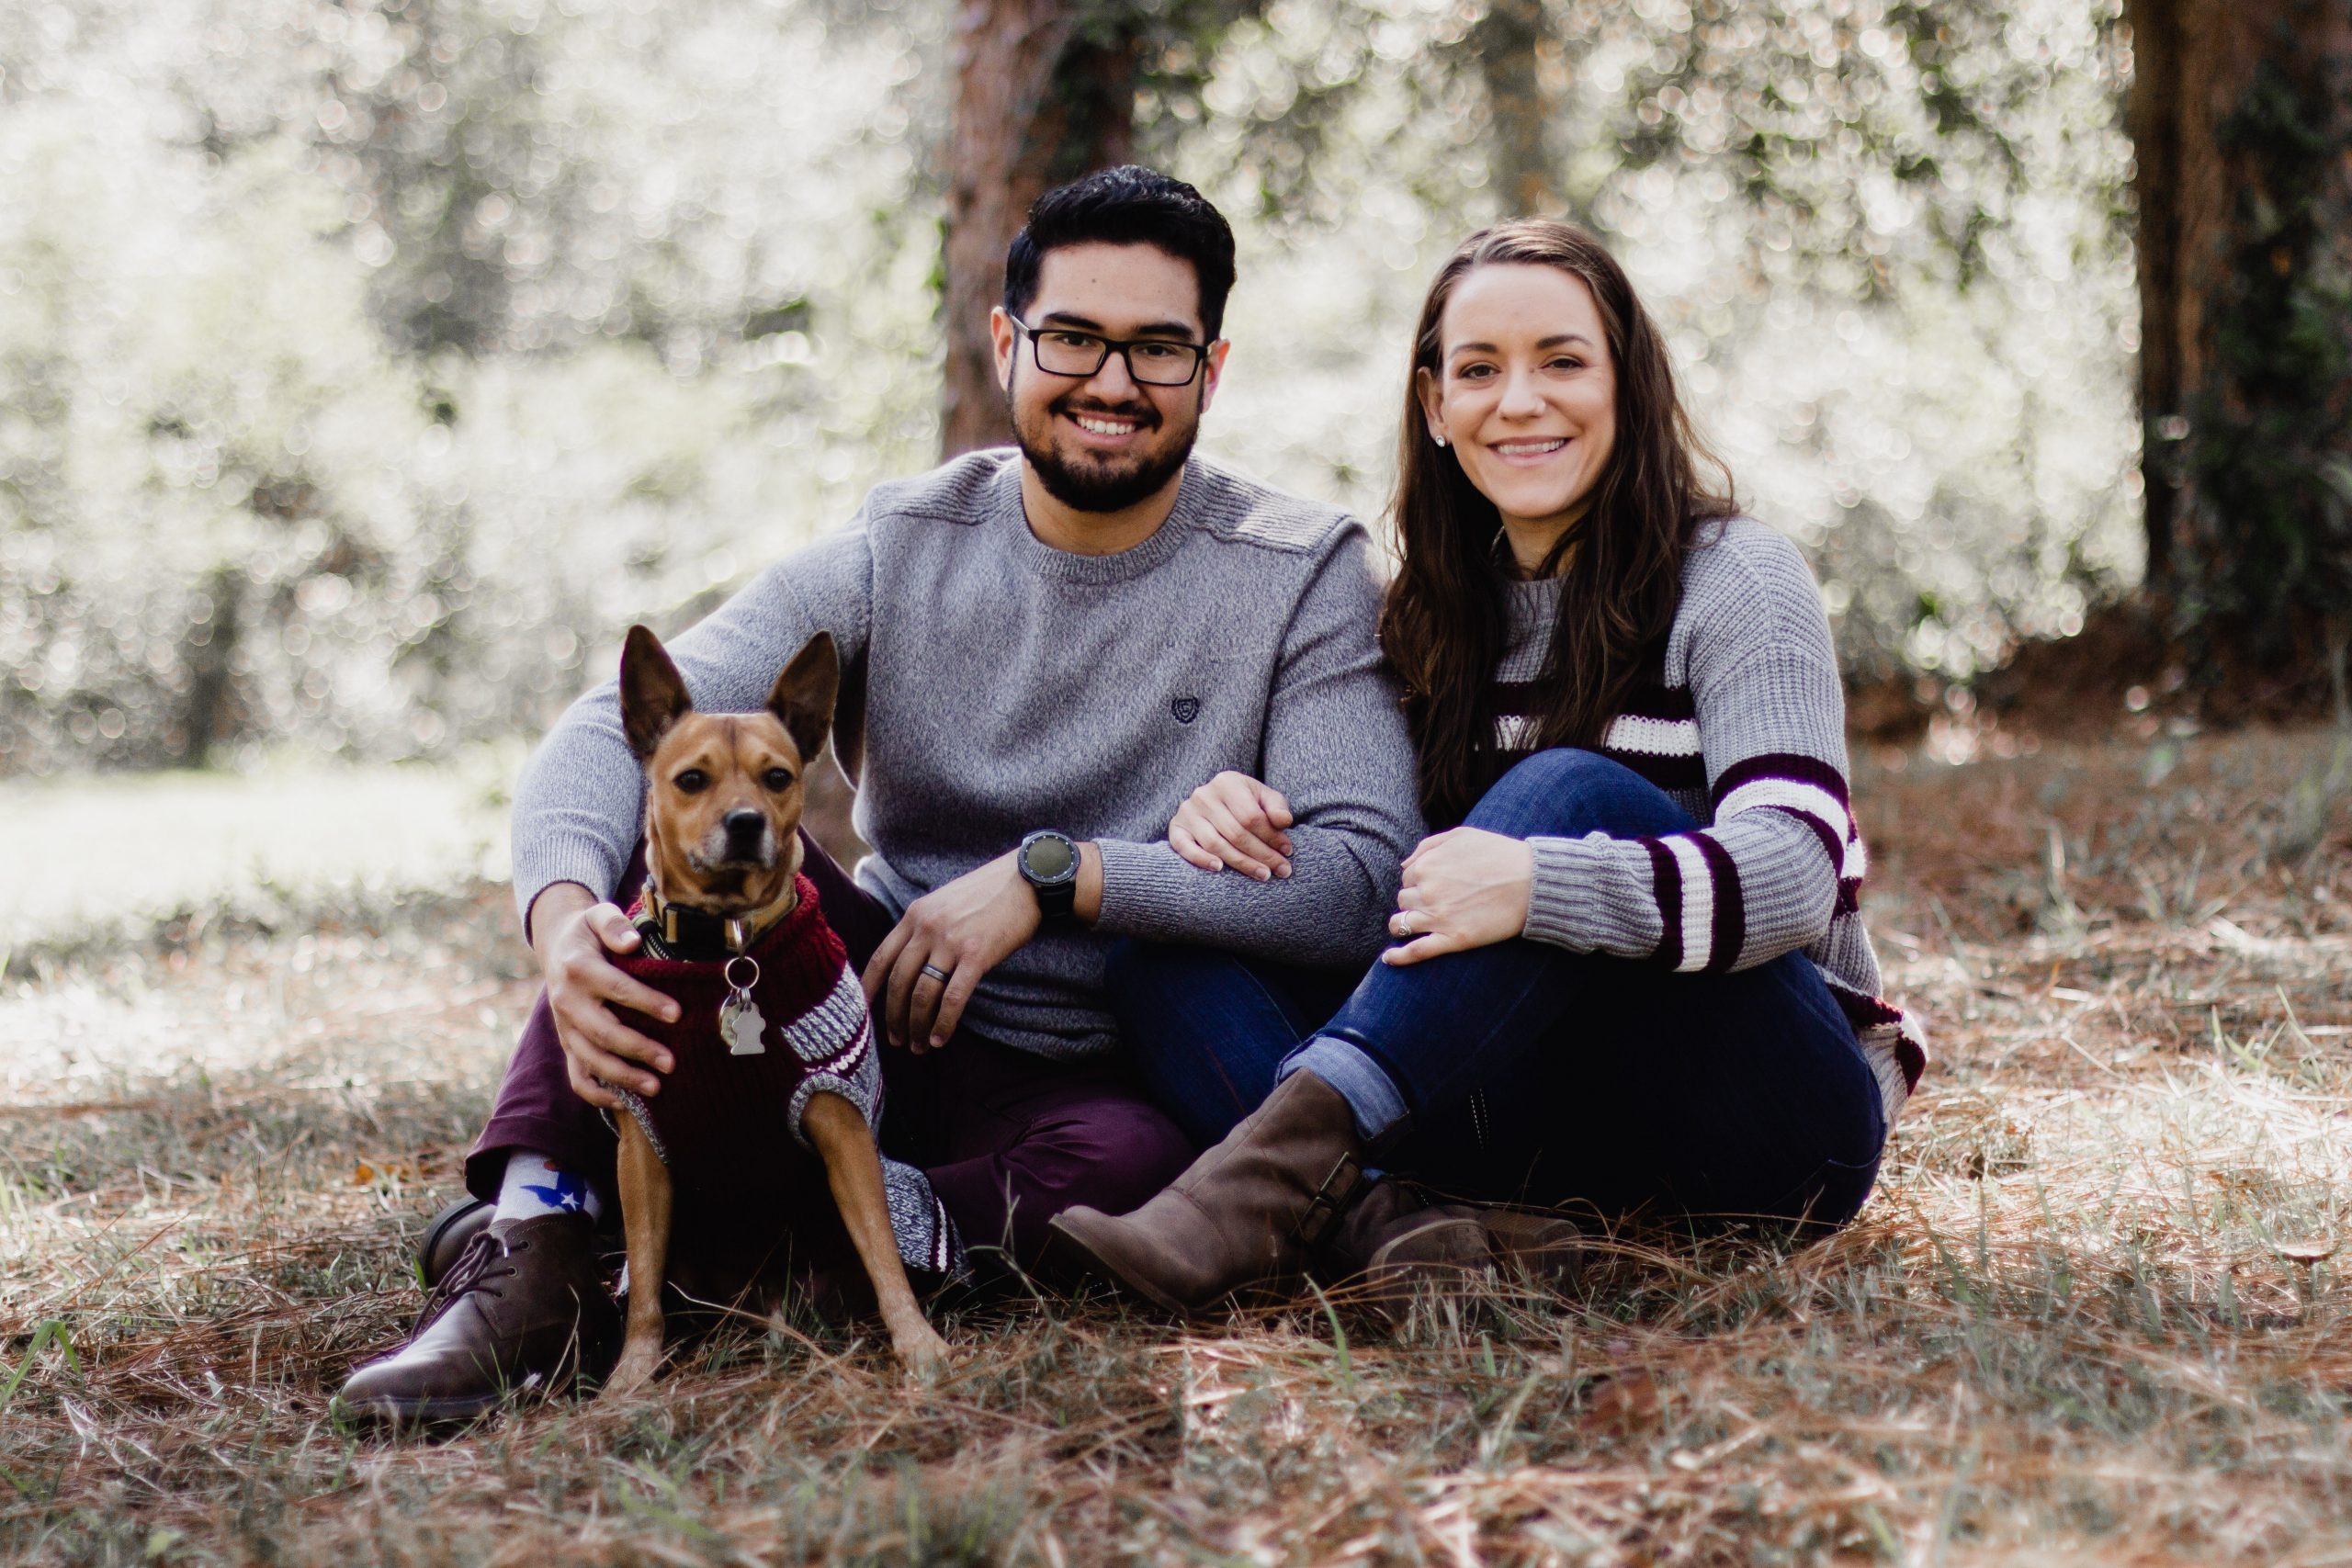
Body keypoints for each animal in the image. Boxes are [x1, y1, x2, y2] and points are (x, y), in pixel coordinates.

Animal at [602, 625, 950, 1401]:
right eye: (691, 779)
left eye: (778, 777)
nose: (745, 821)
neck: (727, 951)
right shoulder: (641, 1149)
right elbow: (643, 1287)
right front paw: (631, 1371)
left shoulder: (840, 1126)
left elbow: (884, 1251)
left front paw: (918, 1343)